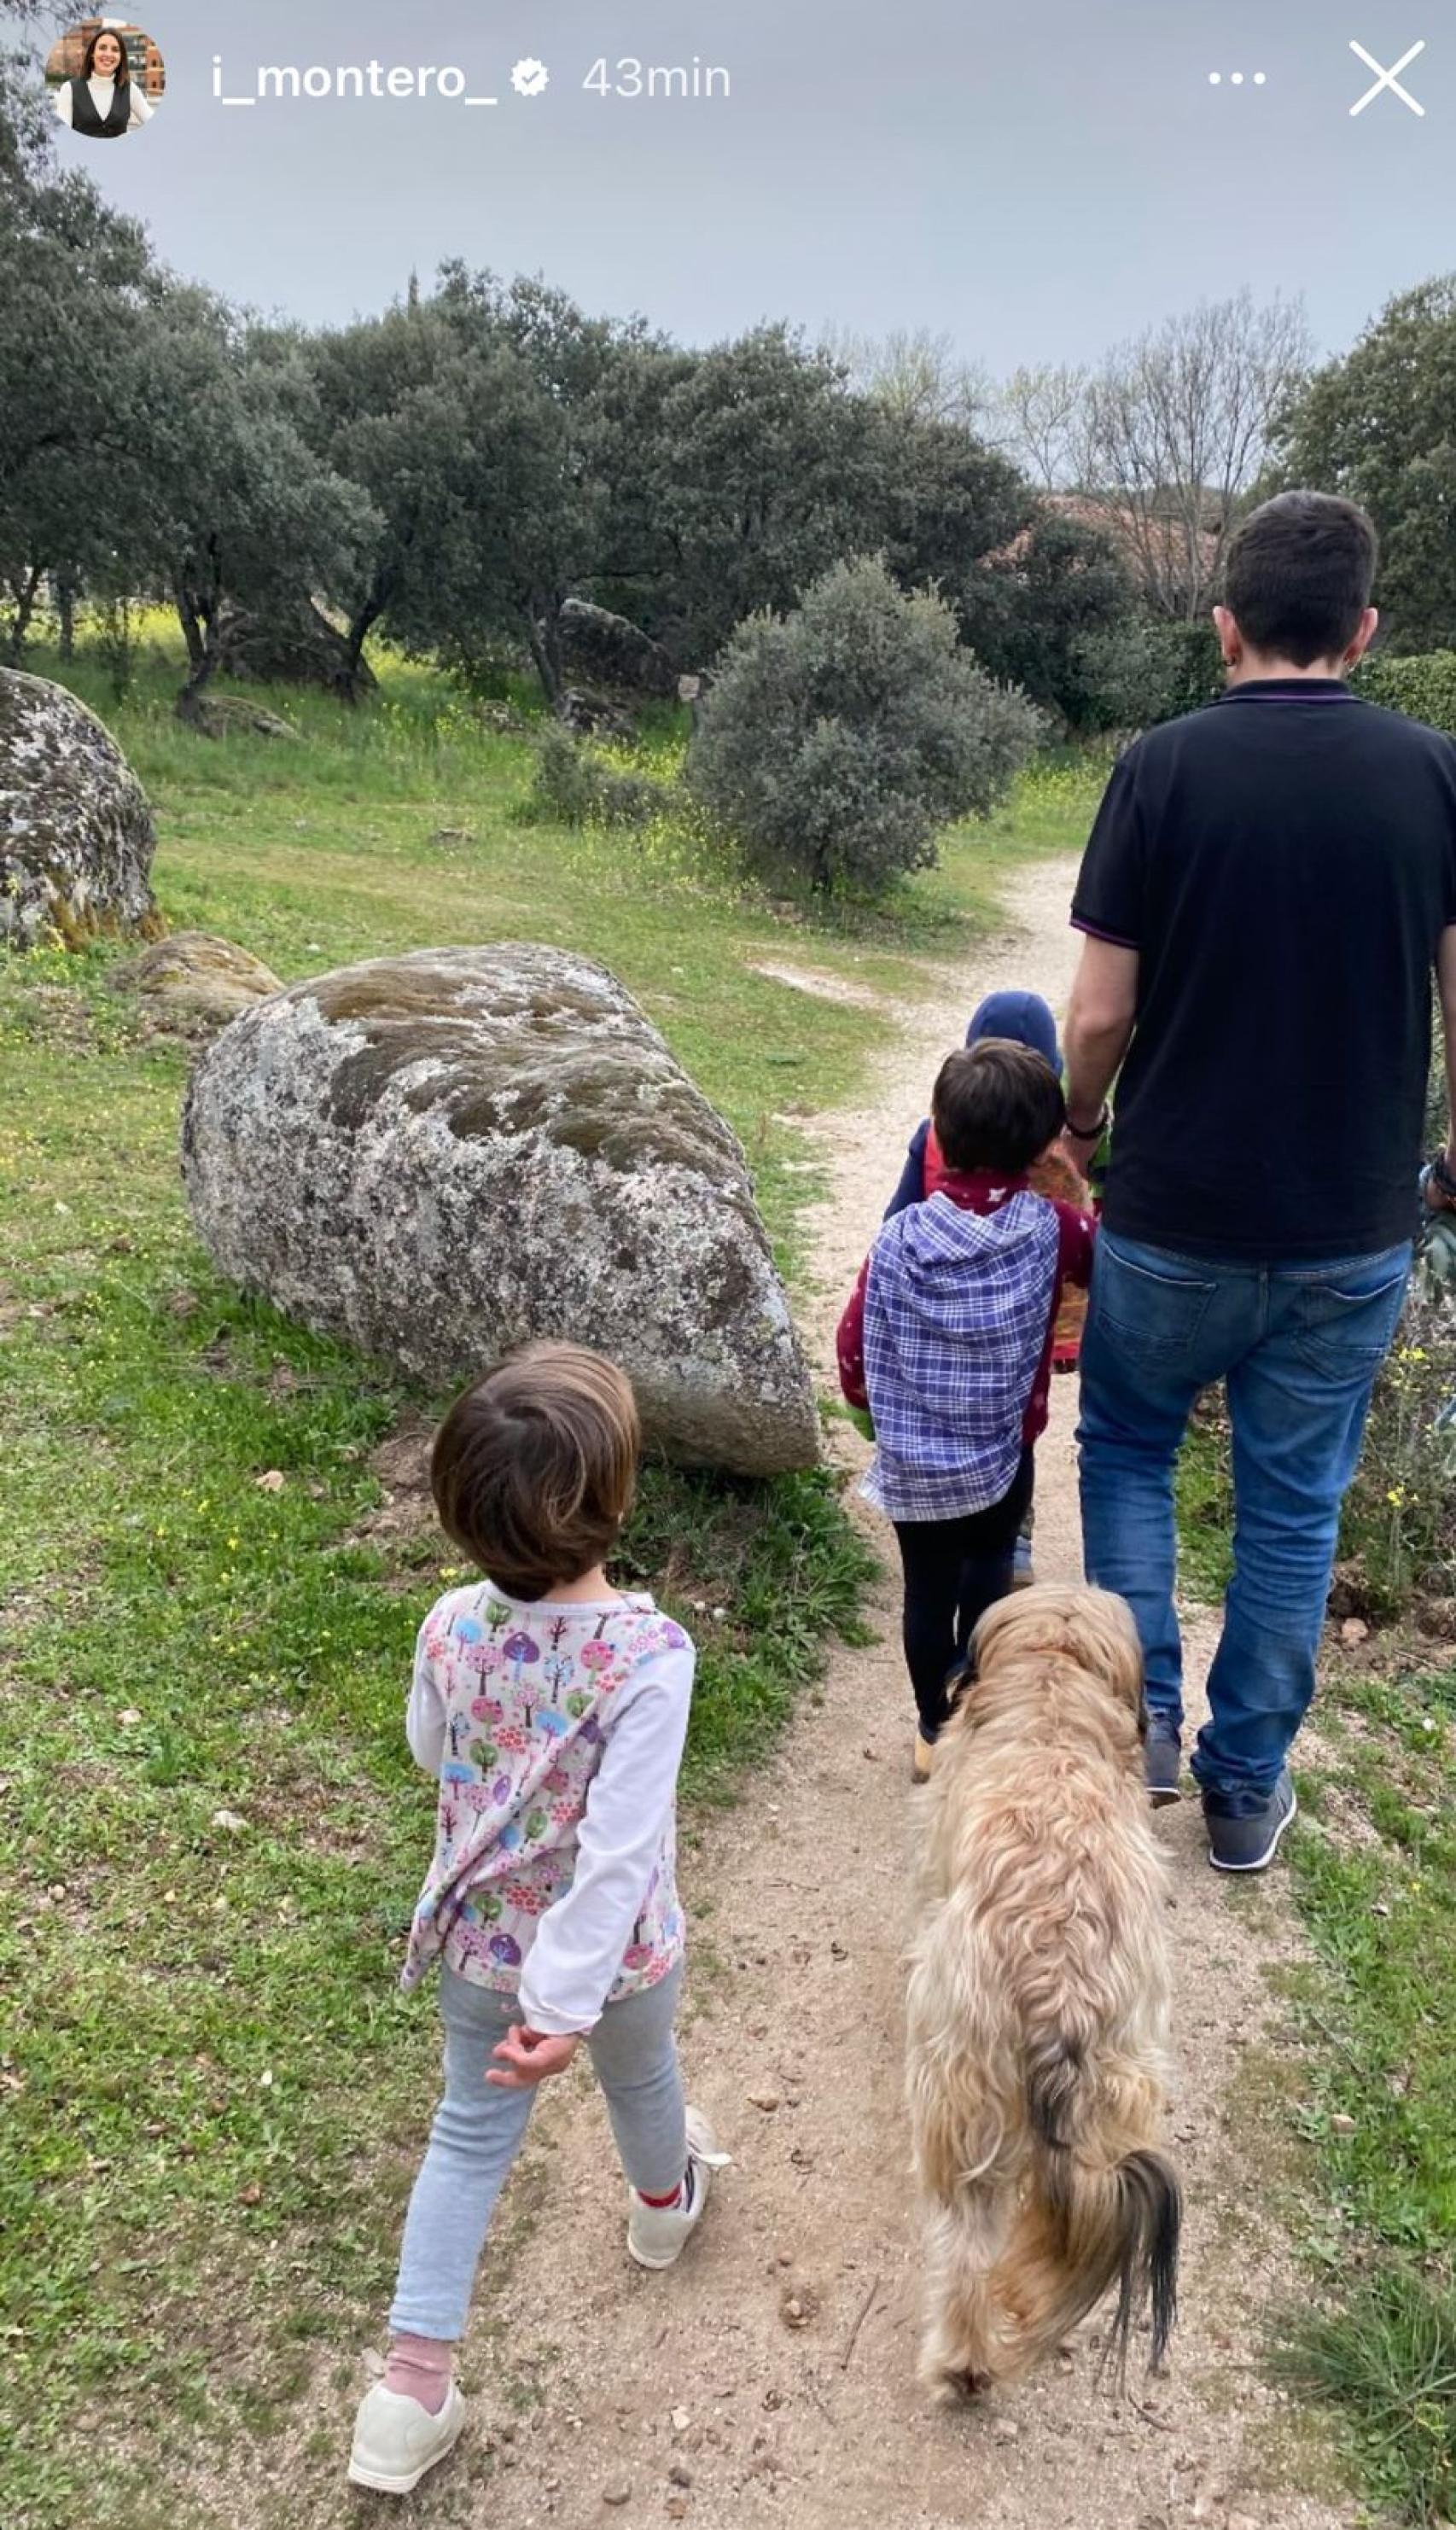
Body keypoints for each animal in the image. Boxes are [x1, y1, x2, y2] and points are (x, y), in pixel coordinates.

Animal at [910, 1589, 1183, 2398]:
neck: (1056, 1673)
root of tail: (1061, 1988)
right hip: (1125, 2084)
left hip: (958, 2095)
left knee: (966, 2245)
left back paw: (960, 2364)